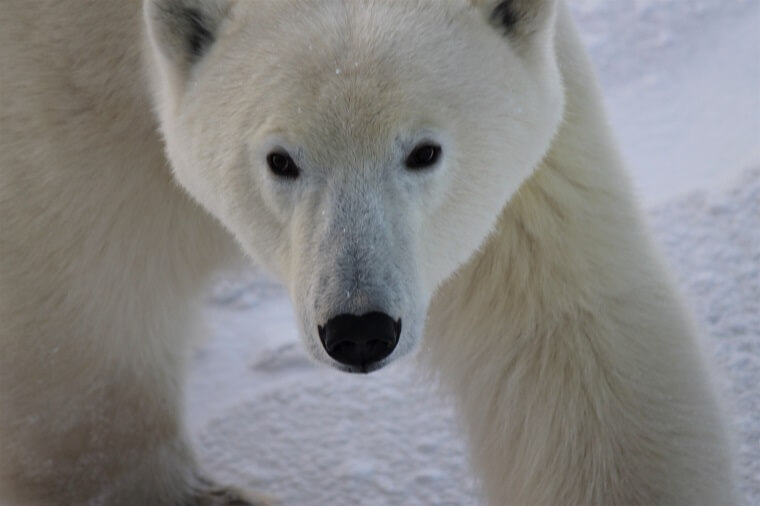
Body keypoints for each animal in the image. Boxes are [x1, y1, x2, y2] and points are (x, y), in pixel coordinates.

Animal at [0, 0, 736, 504]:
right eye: (281, 159)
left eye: (424, 151)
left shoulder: (522, 182)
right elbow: (82, 332)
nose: (359, 330)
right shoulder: (68, 110)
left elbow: (570, 342)